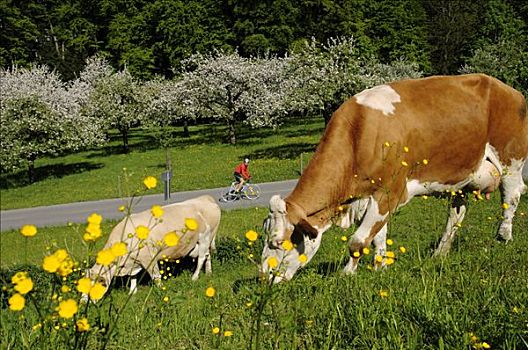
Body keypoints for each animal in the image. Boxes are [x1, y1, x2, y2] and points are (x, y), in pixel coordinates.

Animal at [85, 196, 221, 296]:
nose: (82, 302)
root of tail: (205, 198)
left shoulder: (149, 258)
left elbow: (156, 276)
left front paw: (161, 289)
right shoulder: (134, 260)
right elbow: (133, 276)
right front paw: (132, 291)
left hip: (203, 238)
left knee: (201, 258)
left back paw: (194, 277)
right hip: (205, 242)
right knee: (207, 255)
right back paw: (208, 272)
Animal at [260, 73, 528, 282]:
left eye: (279, 242)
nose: (264, 278)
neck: (357, 134)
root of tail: (506, 88)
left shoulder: (391, 191)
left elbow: (357, 241)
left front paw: (347, 274)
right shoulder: (373, 197)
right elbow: (377, 237)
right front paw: (381, 267)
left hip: (511, 161)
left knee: (511, 197)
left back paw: (503, 237)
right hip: (461, 175)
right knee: (457, 212)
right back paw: (440, 253)